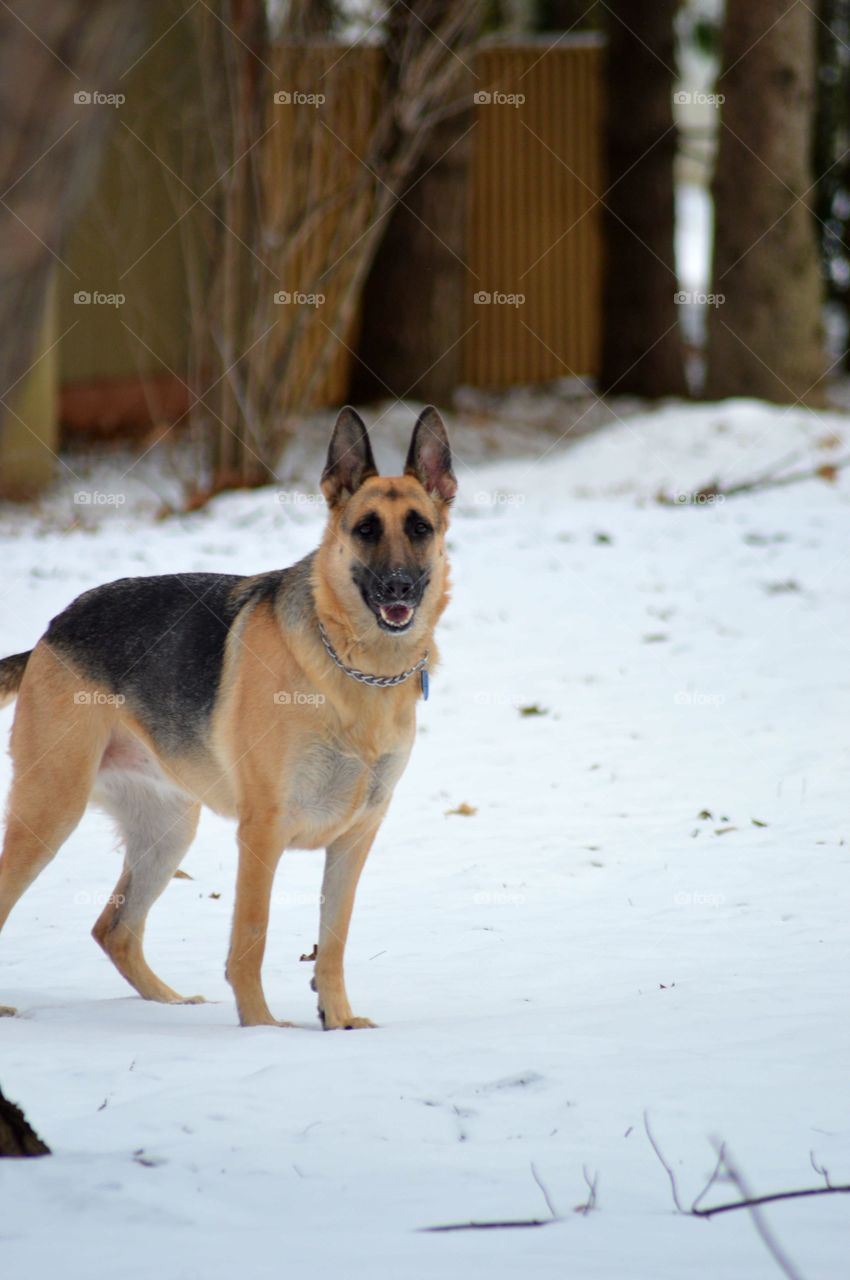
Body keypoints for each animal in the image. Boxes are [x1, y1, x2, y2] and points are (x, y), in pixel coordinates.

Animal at [0, 409, 458, 1029]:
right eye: (365, 529)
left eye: (419, 529)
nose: (399, 588)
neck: (357, 667)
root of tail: (50, 631)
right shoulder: (263, 829)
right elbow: (251, 937)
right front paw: (261, 1029)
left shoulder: (356, 836)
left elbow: (333, 942)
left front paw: (338, 1020)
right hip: (50, 810)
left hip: (169, 829)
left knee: (114, 928)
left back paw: (170, 1003)